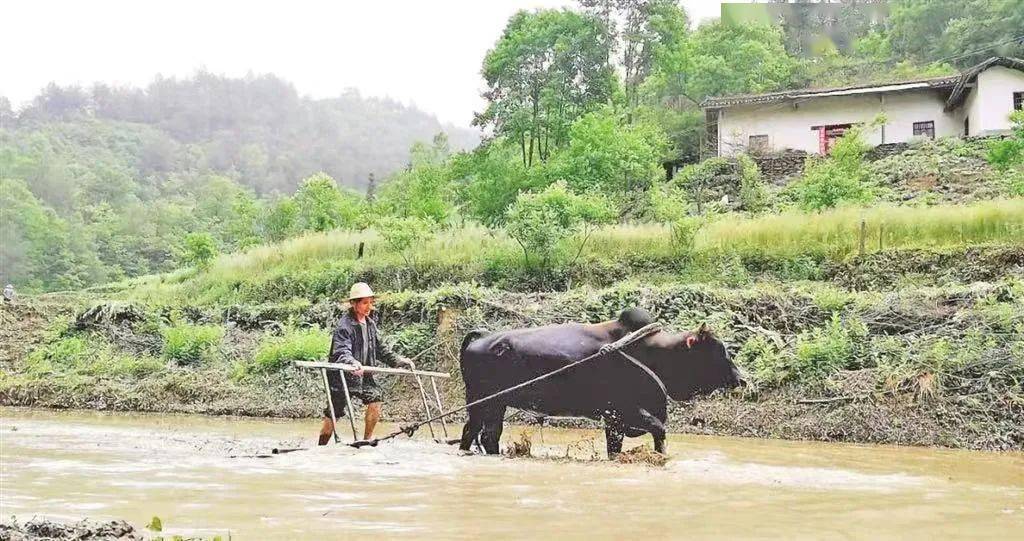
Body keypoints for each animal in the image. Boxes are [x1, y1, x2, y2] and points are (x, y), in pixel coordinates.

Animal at [460, 309, 741, 456]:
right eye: (718, 350)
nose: (741, 378)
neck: (648, 351)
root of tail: (482, 336)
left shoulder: (615, 420)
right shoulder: (621, 412)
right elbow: (659, 431)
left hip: (496, 404)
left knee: (486, 435)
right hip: (480, 401)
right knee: (475, 432)